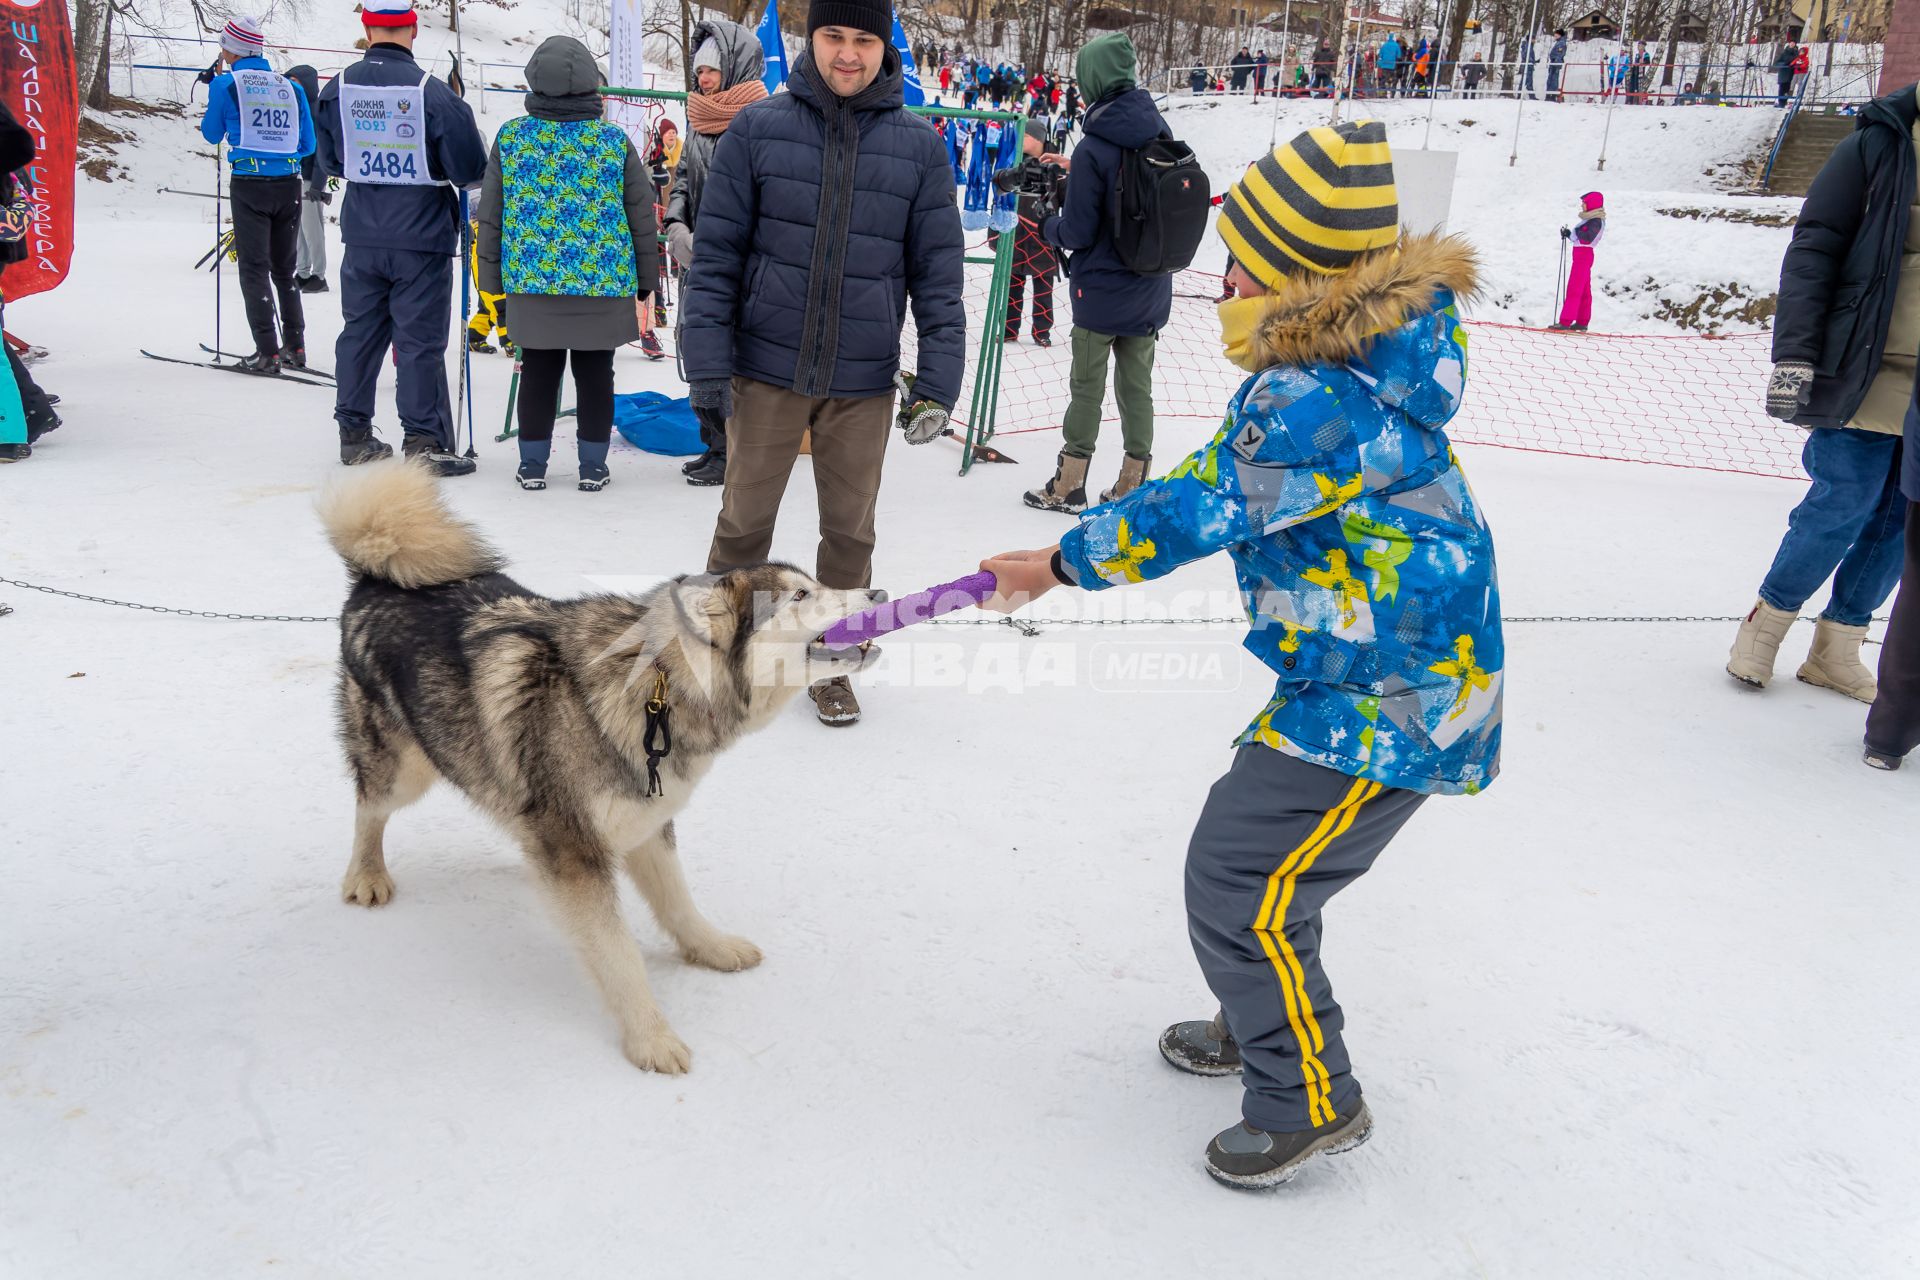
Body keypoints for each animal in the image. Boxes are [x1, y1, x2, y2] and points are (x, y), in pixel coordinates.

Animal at [316, 460, 883, 1074]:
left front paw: (710, 949)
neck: (658, 691)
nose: (879, 589)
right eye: (802, 594)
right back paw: (366, 875)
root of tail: (376, 577)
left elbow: (678, 903)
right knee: (369, 808)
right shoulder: (579, 854)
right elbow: (617, 954)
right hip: (404, 768)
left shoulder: (648, 824)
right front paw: (651, 1038)